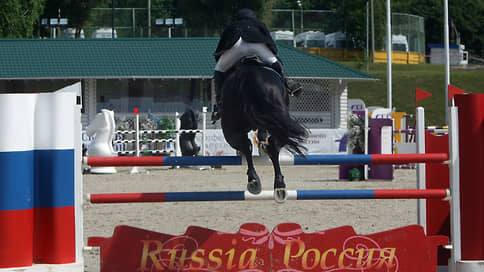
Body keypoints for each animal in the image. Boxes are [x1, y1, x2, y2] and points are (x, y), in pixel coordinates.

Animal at [220, 57, 308, 202]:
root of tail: (249, 75)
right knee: (272, 146)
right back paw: (278, 186)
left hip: (234, 129)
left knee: (247, 146)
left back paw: (254, 180)